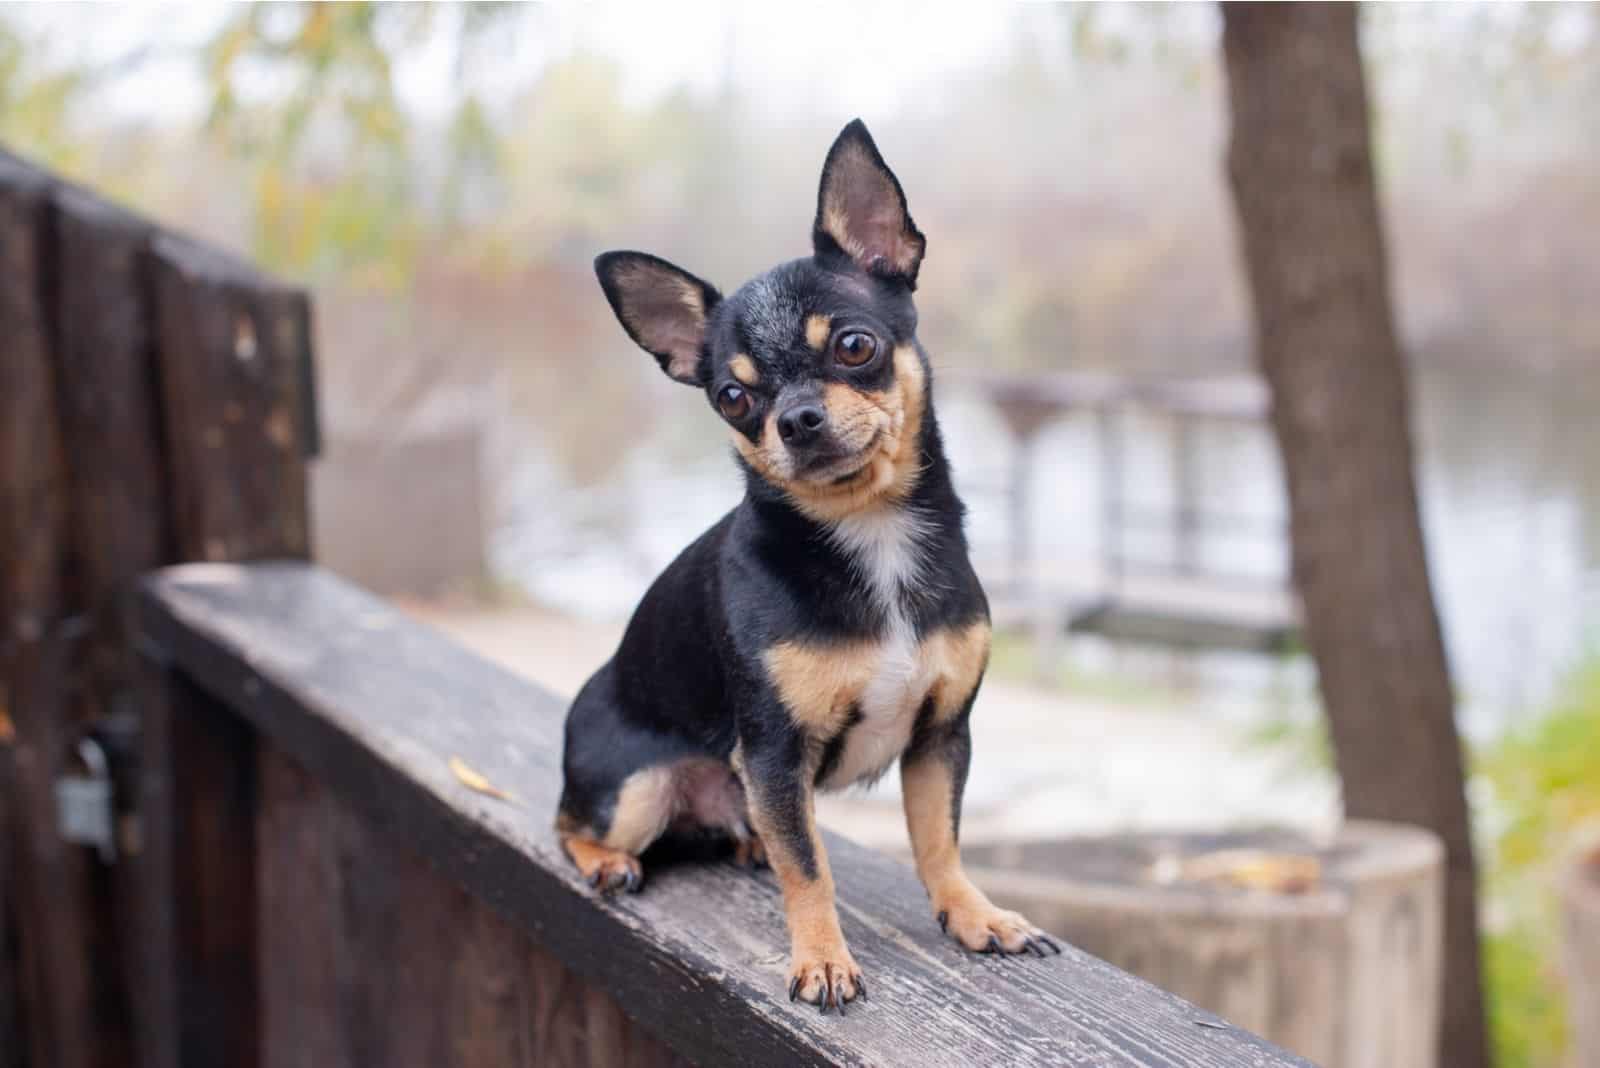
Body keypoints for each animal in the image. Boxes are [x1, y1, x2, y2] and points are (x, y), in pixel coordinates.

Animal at [556, 116, 1056, 1010]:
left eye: (854, 347)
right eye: (732, 398)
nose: (795, 419)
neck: (870, 535)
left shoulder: (941, 739)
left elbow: (939, 840)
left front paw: (973, 914)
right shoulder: (775, 755)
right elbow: (809, 866)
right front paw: (821, 957)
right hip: (636, 790)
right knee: (565, 822)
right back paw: (609, 863)